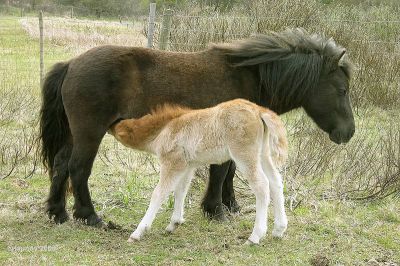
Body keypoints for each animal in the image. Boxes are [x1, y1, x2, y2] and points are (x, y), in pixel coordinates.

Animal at [39, 28, 354, 224]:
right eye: (342, 90)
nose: (348, 132)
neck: (248, 77)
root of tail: (71, 64)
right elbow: (221, 171)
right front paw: (215, 210)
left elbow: (230, 171)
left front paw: (230, 205)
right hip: (89, 133)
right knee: (78, 168)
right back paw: (89, 216)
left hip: (73, 134)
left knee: (61, 165)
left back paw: (58, 212)